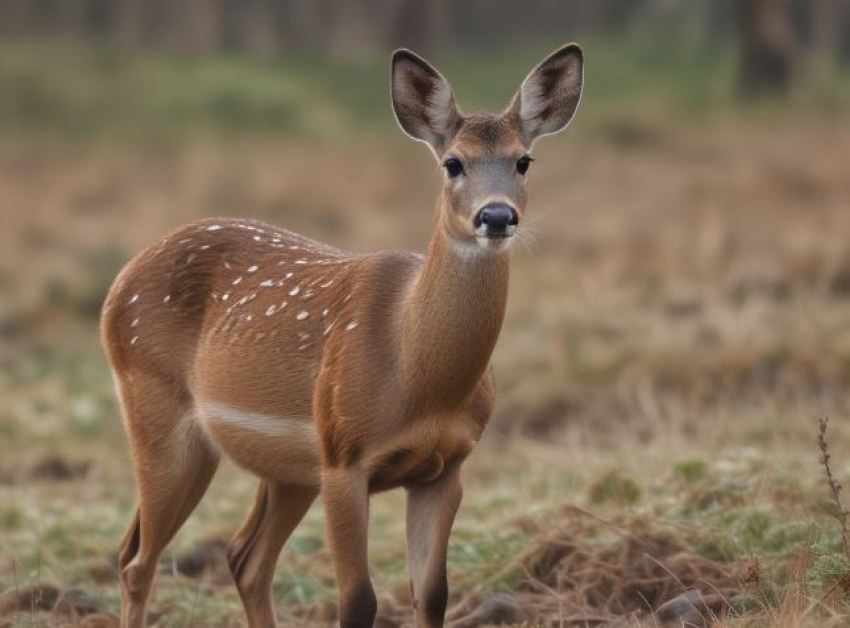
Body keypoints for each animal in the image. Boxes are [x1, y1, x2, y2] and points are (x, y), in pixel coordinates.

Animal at [96, 44, 580, 628]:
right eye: (453, 163)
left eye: (523, 160)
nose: (496, 215)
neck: (414, 369)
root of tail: (119, 282)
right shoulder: (345, 457)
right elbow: (357, 601)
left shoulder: (447, 467)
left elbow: (432, 593)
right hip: (162, 419)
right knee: (137, 562)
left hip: (288, 470)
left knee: (241, 558)